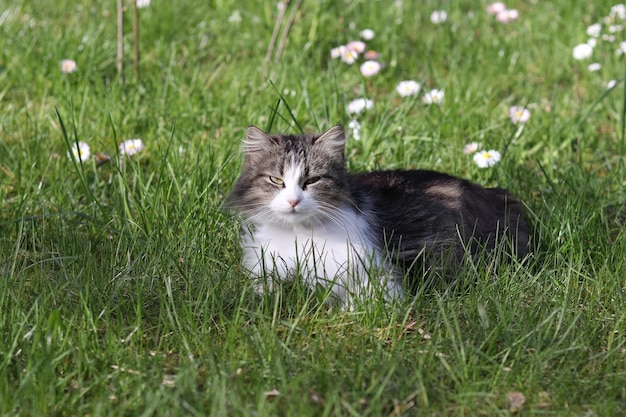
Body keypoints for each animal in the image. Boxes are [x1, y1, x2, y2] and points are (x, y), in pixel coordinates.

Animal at [224, 123, 528, 306]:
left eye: (312, 180)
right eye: (276, 180)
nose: (293, 200)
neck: (299, 235)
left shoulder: (381, 273)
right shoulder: (263, 269)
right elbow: (266, 290)